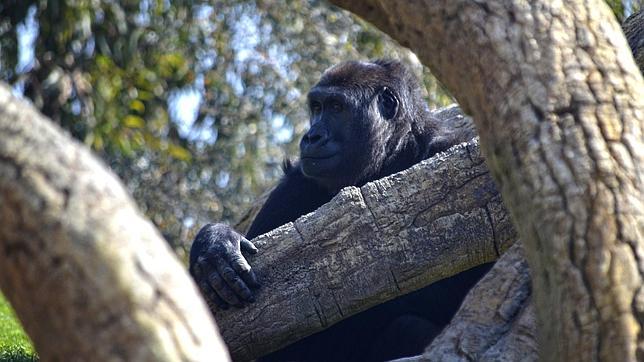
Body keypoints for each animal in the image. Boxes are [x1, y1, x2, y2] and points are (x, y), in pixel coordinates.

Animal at [189, 60, 490, 362]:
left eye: (336, 107)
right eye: (317, 107)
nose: (311, 136)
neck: (391, 155)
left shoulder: (451, 149)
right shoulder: (294, 183)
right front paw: (215, 243)